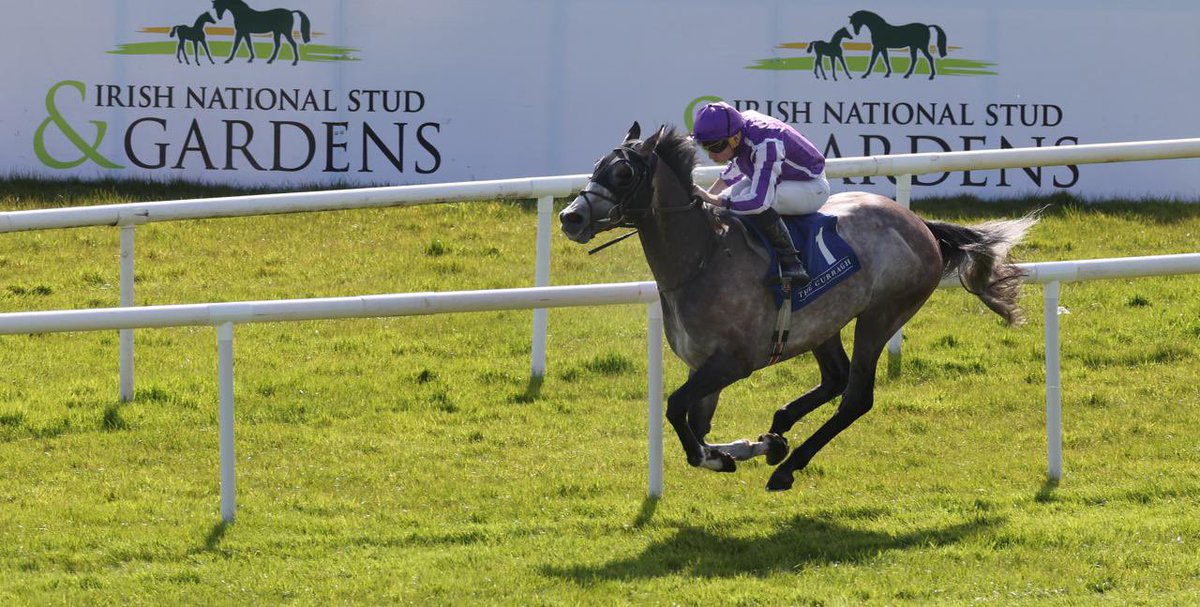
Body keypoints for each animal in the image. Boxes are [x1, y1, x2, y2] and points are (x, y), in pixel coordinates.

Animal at [556, 121, 1036, 491]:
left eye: (622, 172)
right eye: (596, 165)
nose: (570, 217)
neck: (701, 258)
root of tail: (919, 223)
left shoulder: (733, 362)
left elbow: (677, 411)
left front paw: (726, 456)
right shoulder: (703, 366)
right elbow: (697, 425)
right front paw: (753, 446)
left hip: (883, 313)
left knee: (856, 397)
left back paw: (787, 467)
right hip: (824, 323)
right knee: (835, 378)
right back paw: (780, 429)